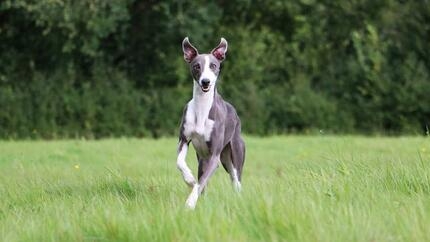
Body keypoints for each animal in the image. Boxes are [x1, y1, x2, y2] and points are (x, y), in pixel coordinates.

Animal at [176, 36, 245, 209]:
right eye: (196, 66)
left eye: (213, 66)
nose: (205, 82)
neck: (202, 108)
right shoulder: (184, 140)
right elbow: (180, 163)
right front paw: (189, 179)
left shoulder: (214, 157)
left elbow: (200, 183)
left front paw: (190, 203)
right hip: (202, 159)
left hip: (233, 155)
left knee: (236, 180)